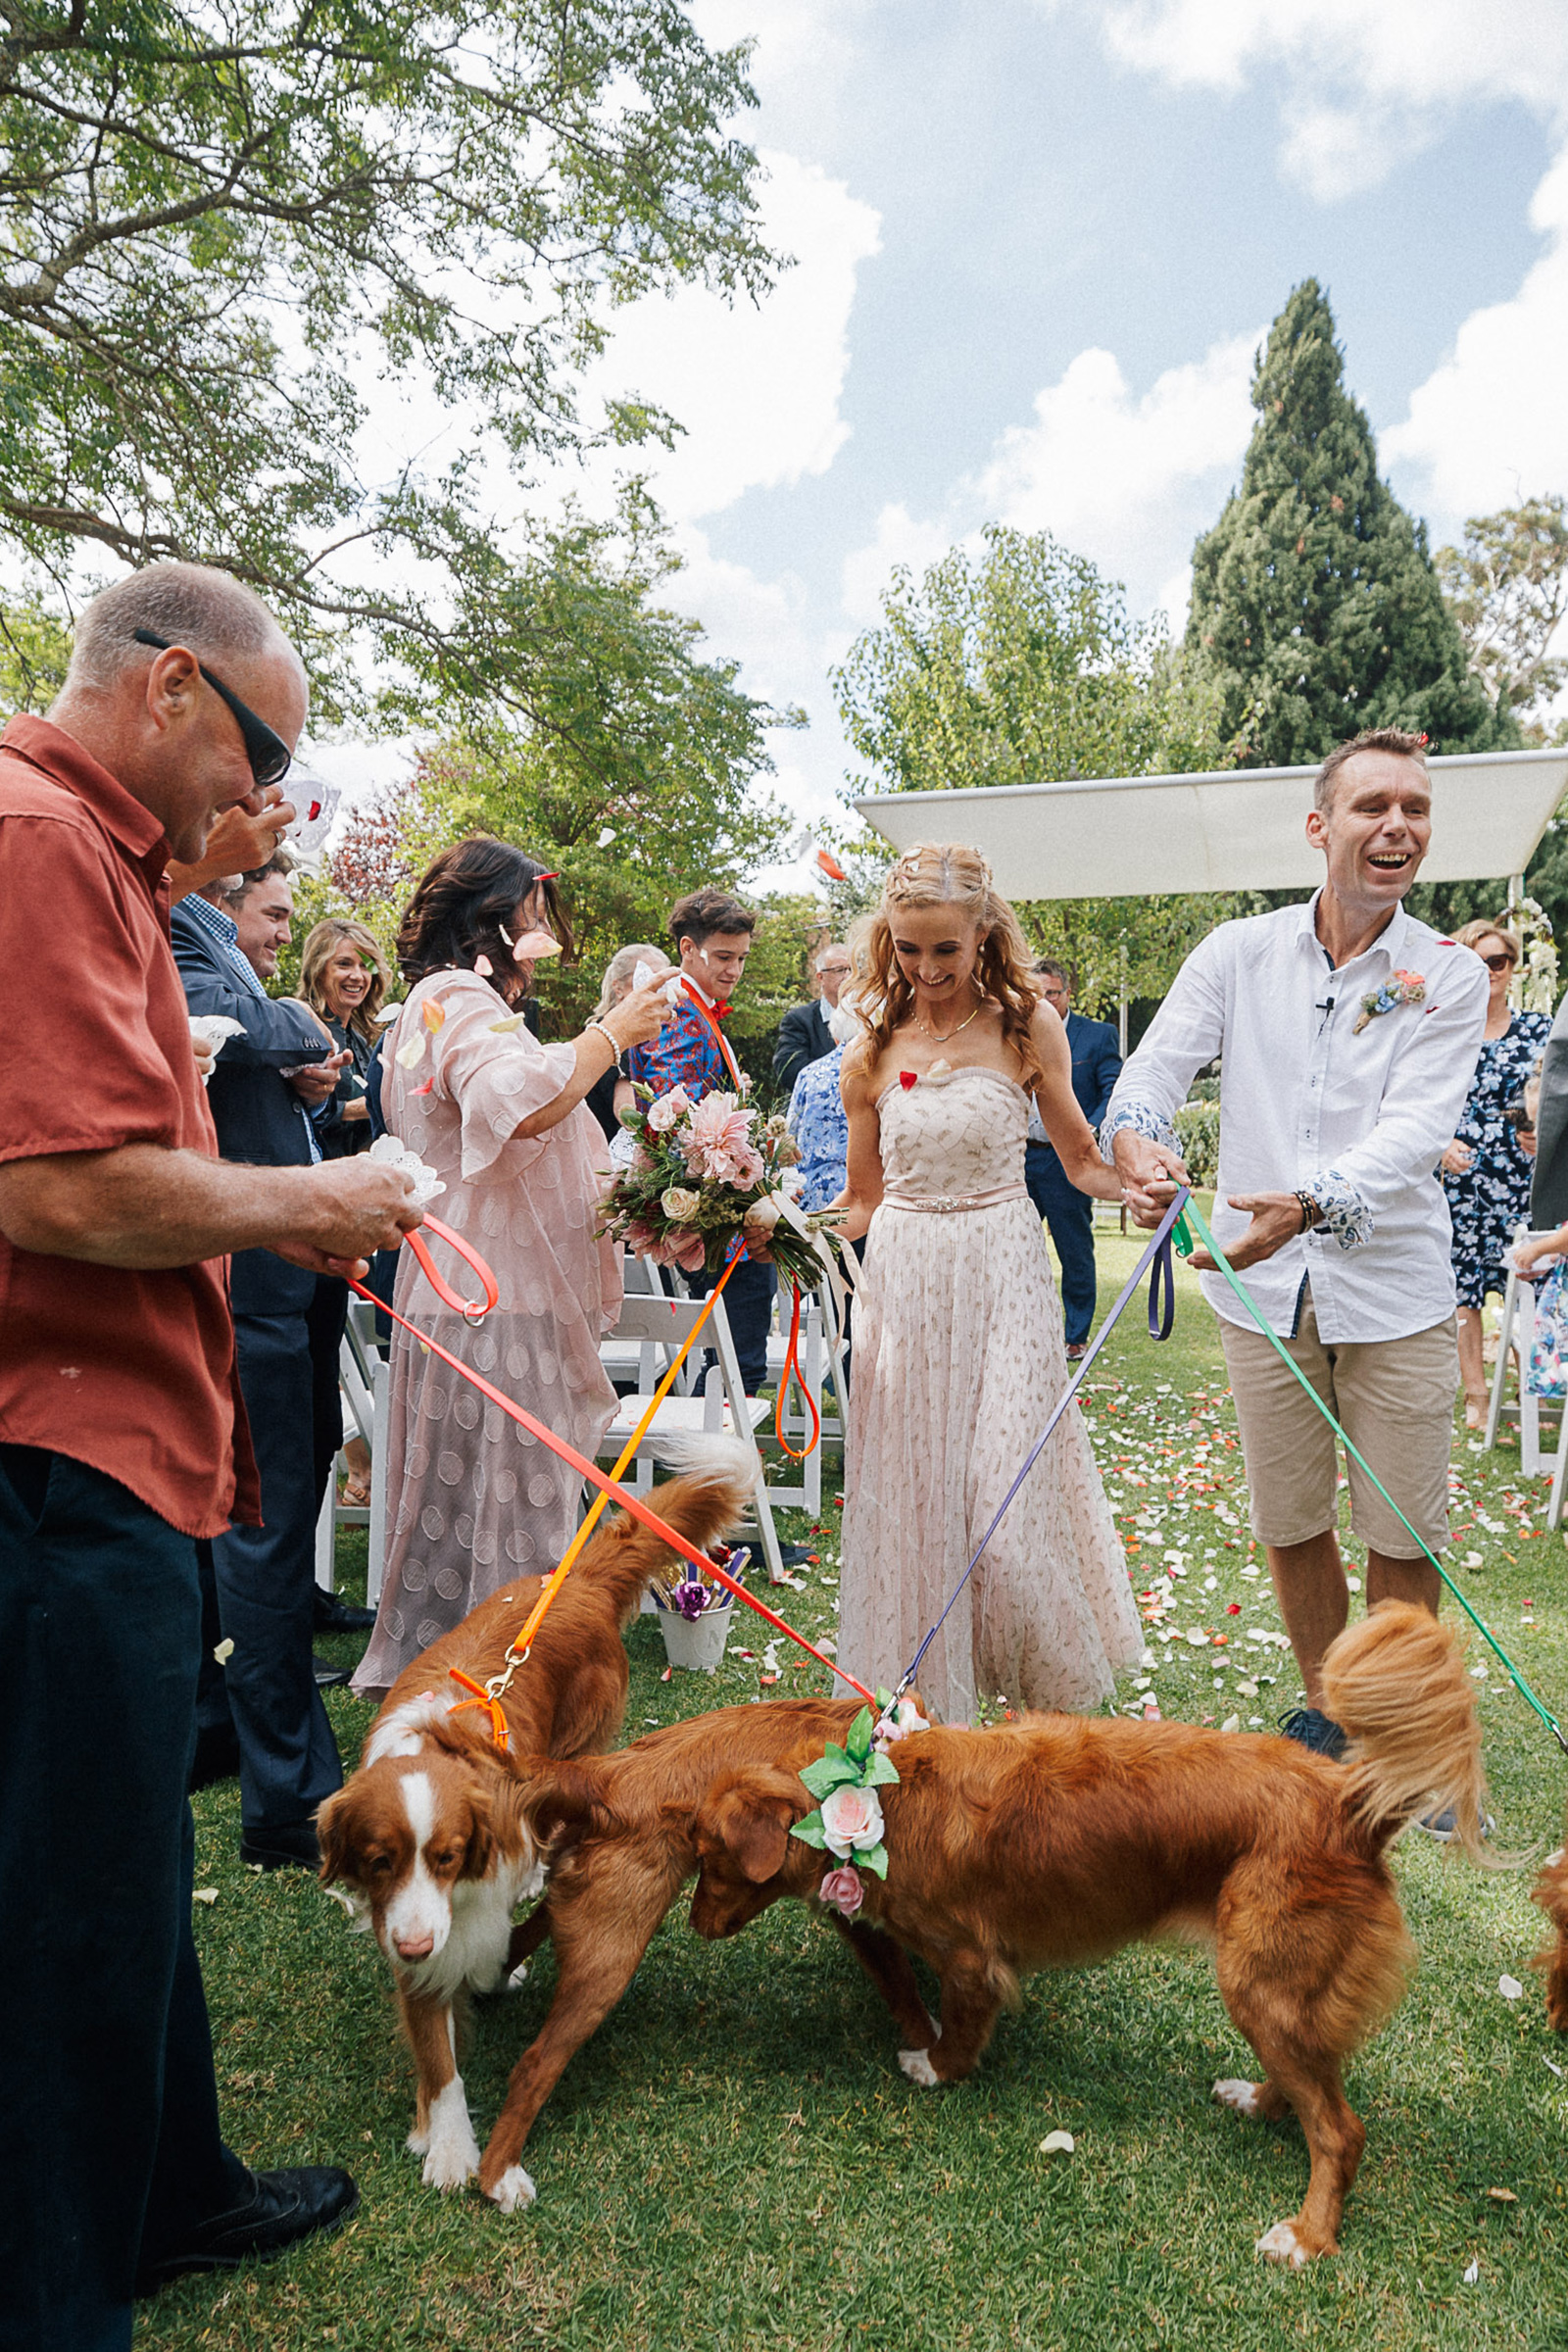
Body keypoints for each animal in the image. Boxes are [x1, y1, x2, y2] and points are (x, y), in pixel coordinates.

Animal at [315, 1430, 757, 2201]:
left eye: (448, 1856)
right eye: (378, 1861)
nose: (414, 1945)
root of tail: (574, 1583)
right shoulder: (410, 1932)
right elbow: (438, 2056)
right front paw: (448, 2145)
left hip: (583, 1742)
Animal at [686, 1599, 1494, 2258]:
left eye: (709, 1860)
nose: (692, 1926)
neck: (876, 1791)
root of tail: (1347, 1804)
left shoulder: (970, 1959)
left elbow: (959, 2029)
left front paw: (936, 2066)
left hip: (1260, 1981)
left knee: (1339, 2129)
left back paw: (1309, 2235)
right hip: (1278, 1994)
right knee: (1309, 2083)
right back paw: (1259, 2102)